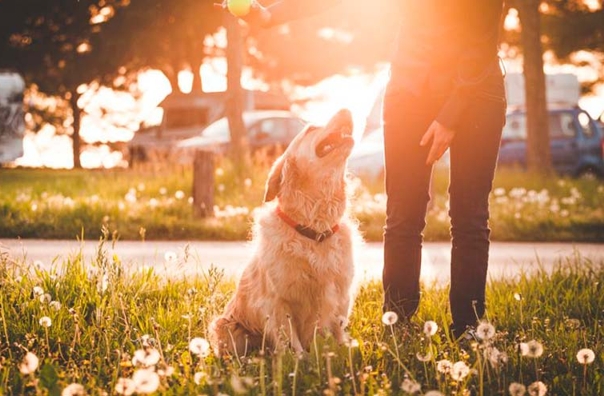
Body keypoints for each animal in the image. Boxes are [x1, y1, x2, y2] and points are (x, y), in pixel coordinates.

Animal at [209, 107, 358, 356]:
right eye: (310, 129)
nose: (346, 110)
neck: (315, 229)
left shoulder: (339, 294)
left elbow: (338, 329)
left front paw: (344, 351)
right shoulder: (277, 300)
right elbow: (289, 338)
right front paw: (299, 361)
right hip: (226, 325)